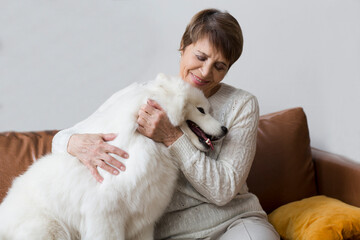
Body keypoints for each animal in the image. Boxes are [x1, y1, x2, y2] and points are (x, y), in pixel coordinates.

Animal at [0, 73, 228, 240]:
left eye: (208, 110)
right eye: (201, 110)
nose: (225, 129)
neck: (145, 143)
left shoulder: (143, 223)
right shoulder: (106, 218)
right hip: (52, 230)